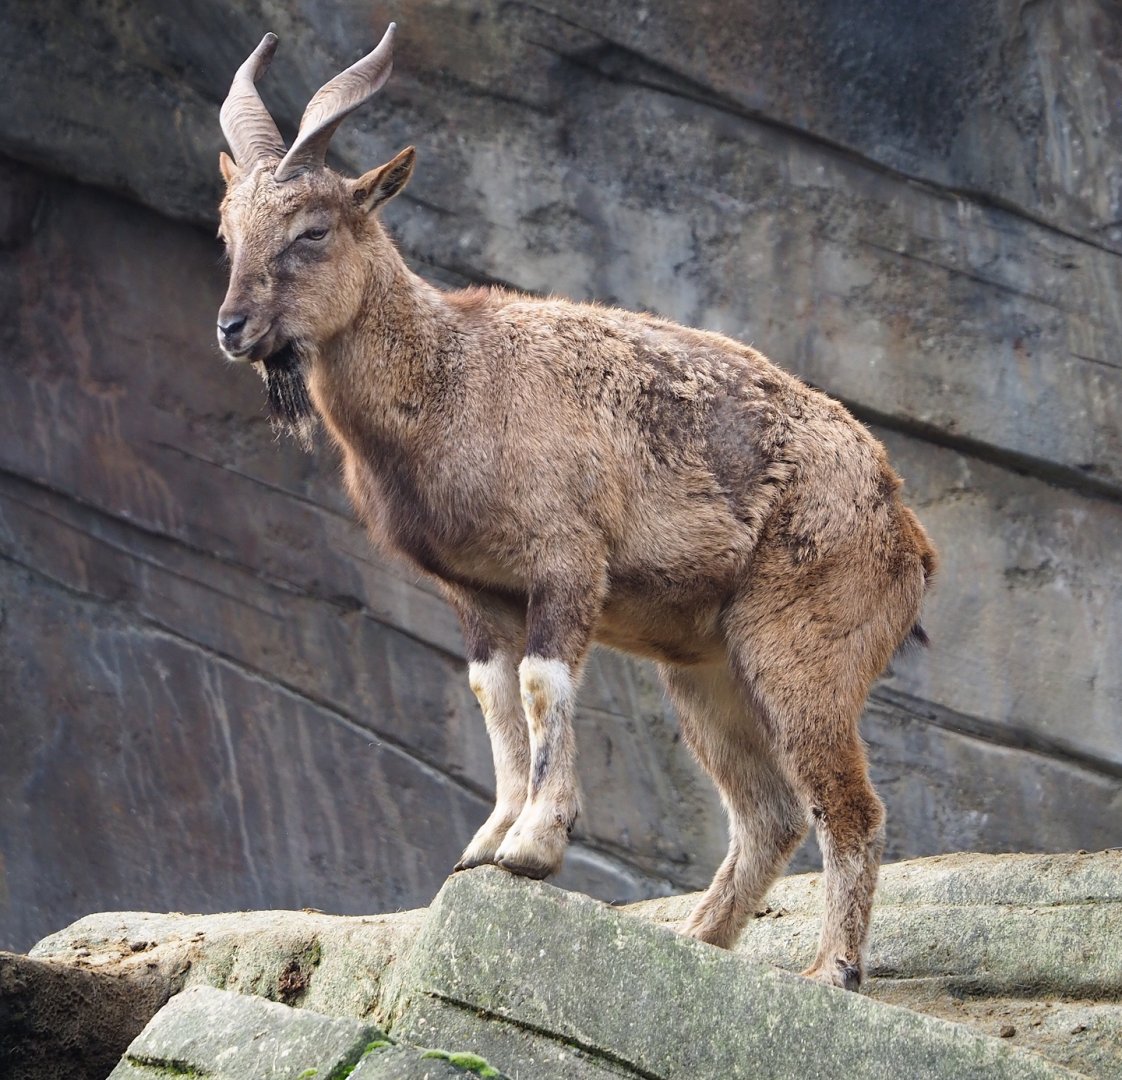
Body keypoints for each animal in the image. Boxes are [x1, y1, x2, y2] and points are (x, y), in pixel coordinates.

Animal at [215, 26, 936, 991]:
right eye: (230, 231)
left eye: (312, 230)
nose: (234, 328)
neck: (455, 378)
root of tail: (908, 534)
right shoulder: (475, 591)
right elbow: (492, 695)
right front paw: (484, 844)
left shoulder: (566, 560)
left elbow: (540, 683)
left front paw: (533, 845)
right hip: (708, 669)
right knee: (770, 814)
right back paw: (696, 941)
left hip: (805, 650)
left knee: (850, 807)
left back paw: (831, 971)